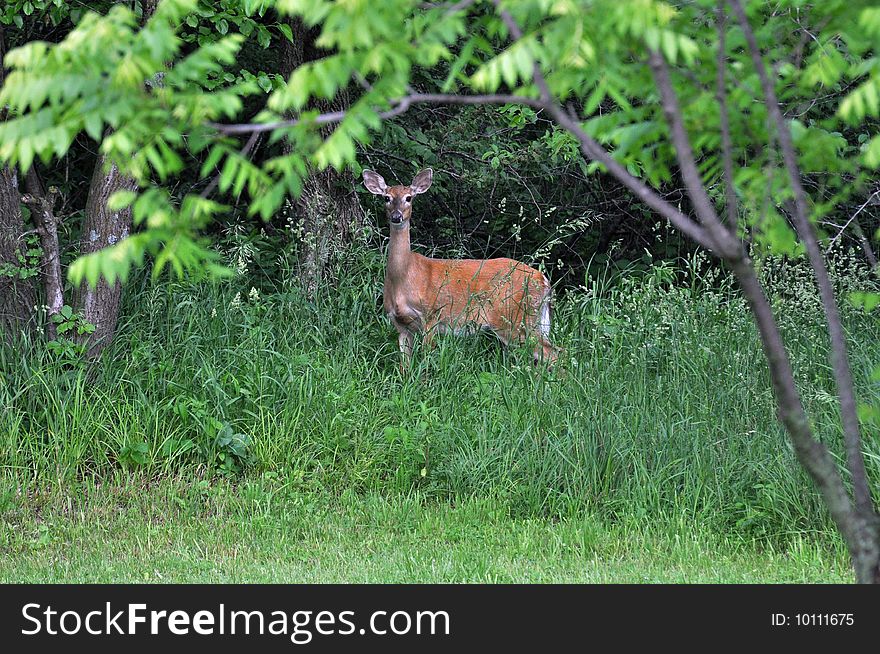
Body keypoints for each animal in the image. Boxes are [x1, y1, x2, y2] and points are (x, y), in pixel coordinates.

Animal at [360, 169, 552, 368]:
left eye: (409, 198)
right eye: (386, 198)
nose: (396, 217)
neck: (404, 277)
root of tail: (543, 280)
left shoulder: (432, 315)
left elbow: (427, 360)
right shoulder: (401, 325)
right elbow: (404, 366)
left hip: (516, 318)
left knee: (553, 353)